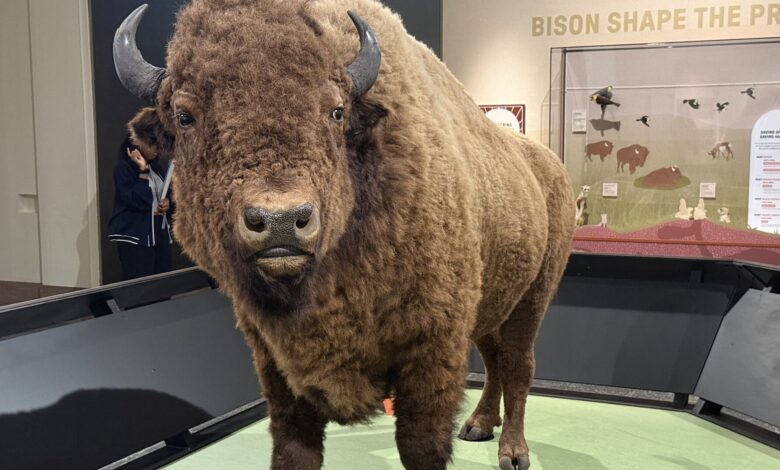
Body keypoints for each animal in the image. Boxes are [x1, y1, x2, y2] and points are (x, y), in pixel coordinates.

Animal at [114, 1, 575, 469]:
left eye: (336, 111)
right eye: (184, 116)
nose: (281, 220)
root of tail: (547, 164)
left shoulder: (433, 353)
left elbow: (421, 445)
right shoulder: (274, 363)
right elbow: (294, 447)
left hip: (534, 296)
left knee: (517, 364)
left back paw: (513, 450)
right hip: (495, 299)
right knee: (495, 358)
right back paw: (479, 424)